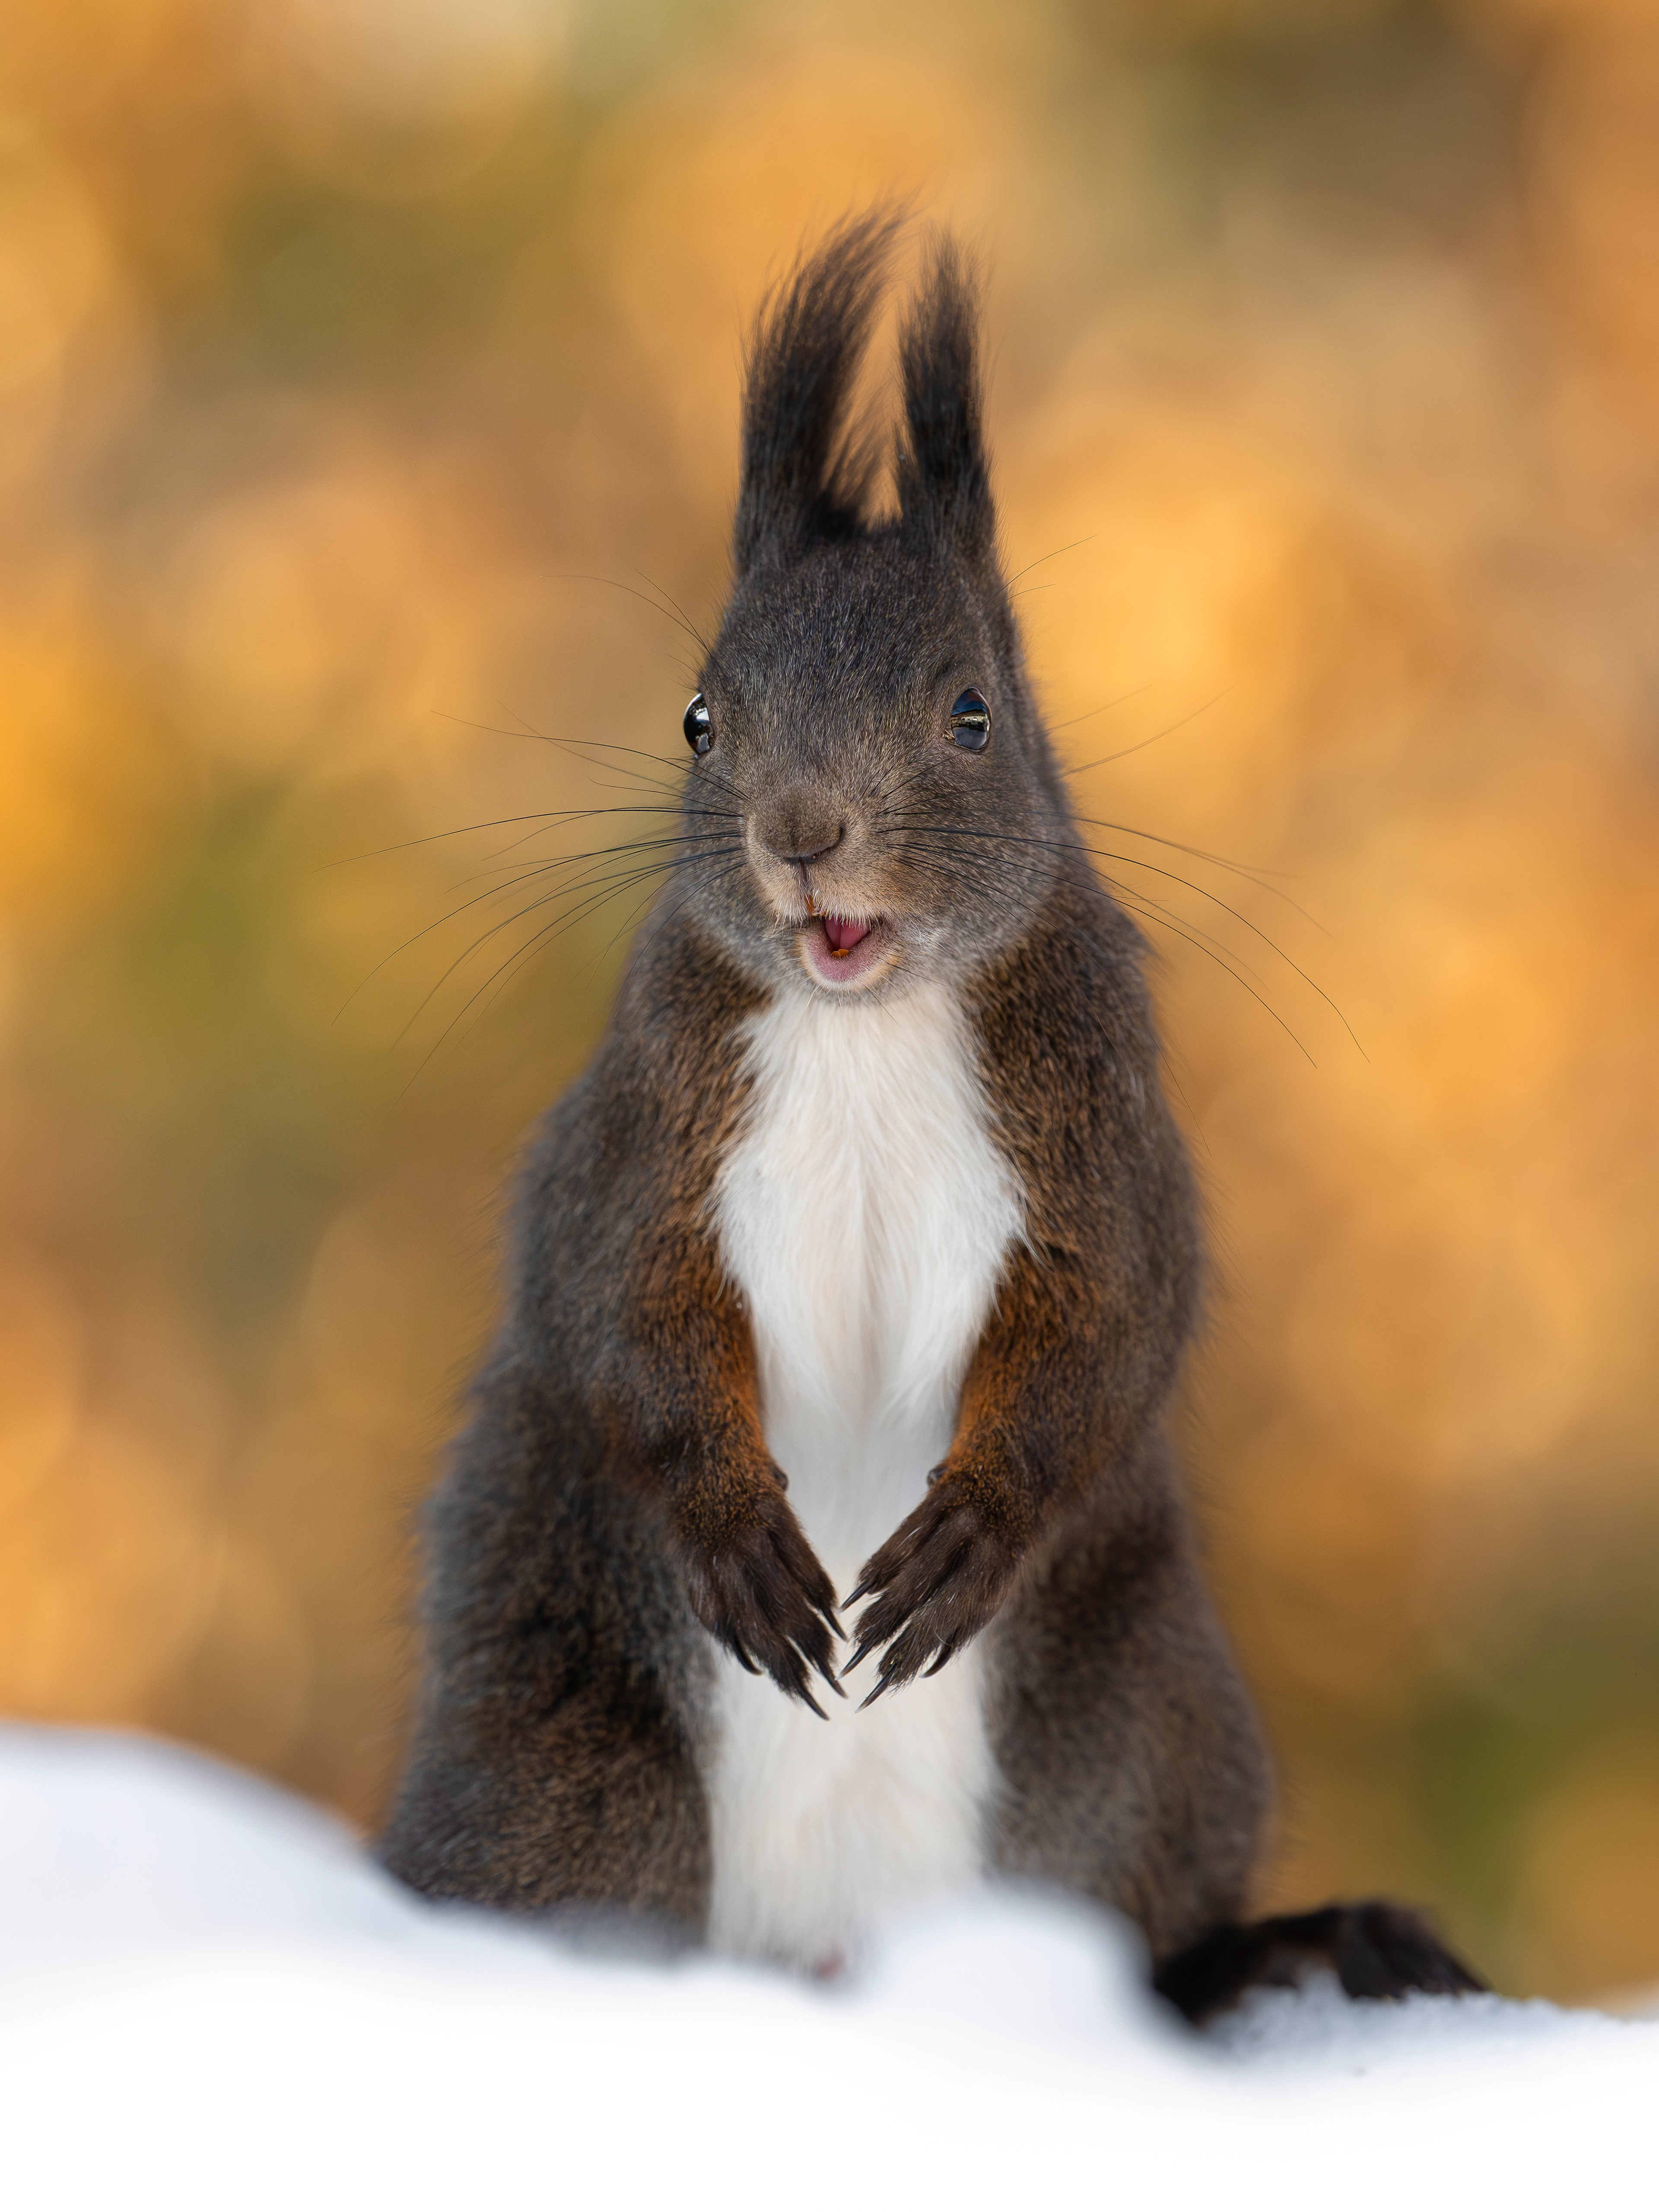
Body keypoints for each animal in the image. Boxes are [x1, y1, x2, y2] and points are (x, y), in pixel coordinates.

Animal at [379, 213, 1483, 2022]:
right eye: (700, 718)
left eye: (974, 712)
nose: (802, 829)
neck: (865, 1027)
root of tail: (835, 1960)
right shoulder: (638, 1142)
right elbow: (623, 1316)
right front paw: (741, 1534)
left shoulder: (1104, 1149)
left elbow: (1107, 1331)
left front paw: (974, 1528)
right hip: (562, 1771)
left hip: (1144, 1739)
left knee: (1151, 1923)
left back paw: (1269, 1951)